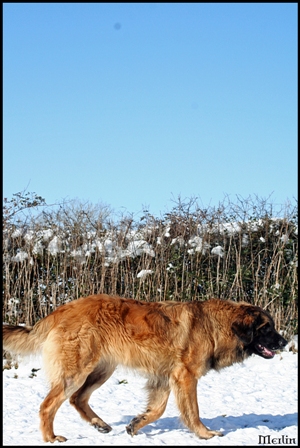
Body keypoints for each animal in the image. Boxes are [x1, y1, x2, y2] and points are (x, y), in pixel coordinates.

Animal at [2, 292, 288, 442]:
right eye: (266, 328)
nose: (285, 342)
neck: (214, 325)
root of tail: (61, 310)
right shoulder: (185, 377)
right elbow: (193, 411)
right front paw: (205, 434)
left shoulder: (165, 377)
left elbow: (157, 409)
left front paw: (136, 424)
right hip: (77, 372)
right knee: (49, 405)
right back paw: (51, 438)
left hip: (101, 370)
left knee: (77, 399)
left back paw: (100, 424)